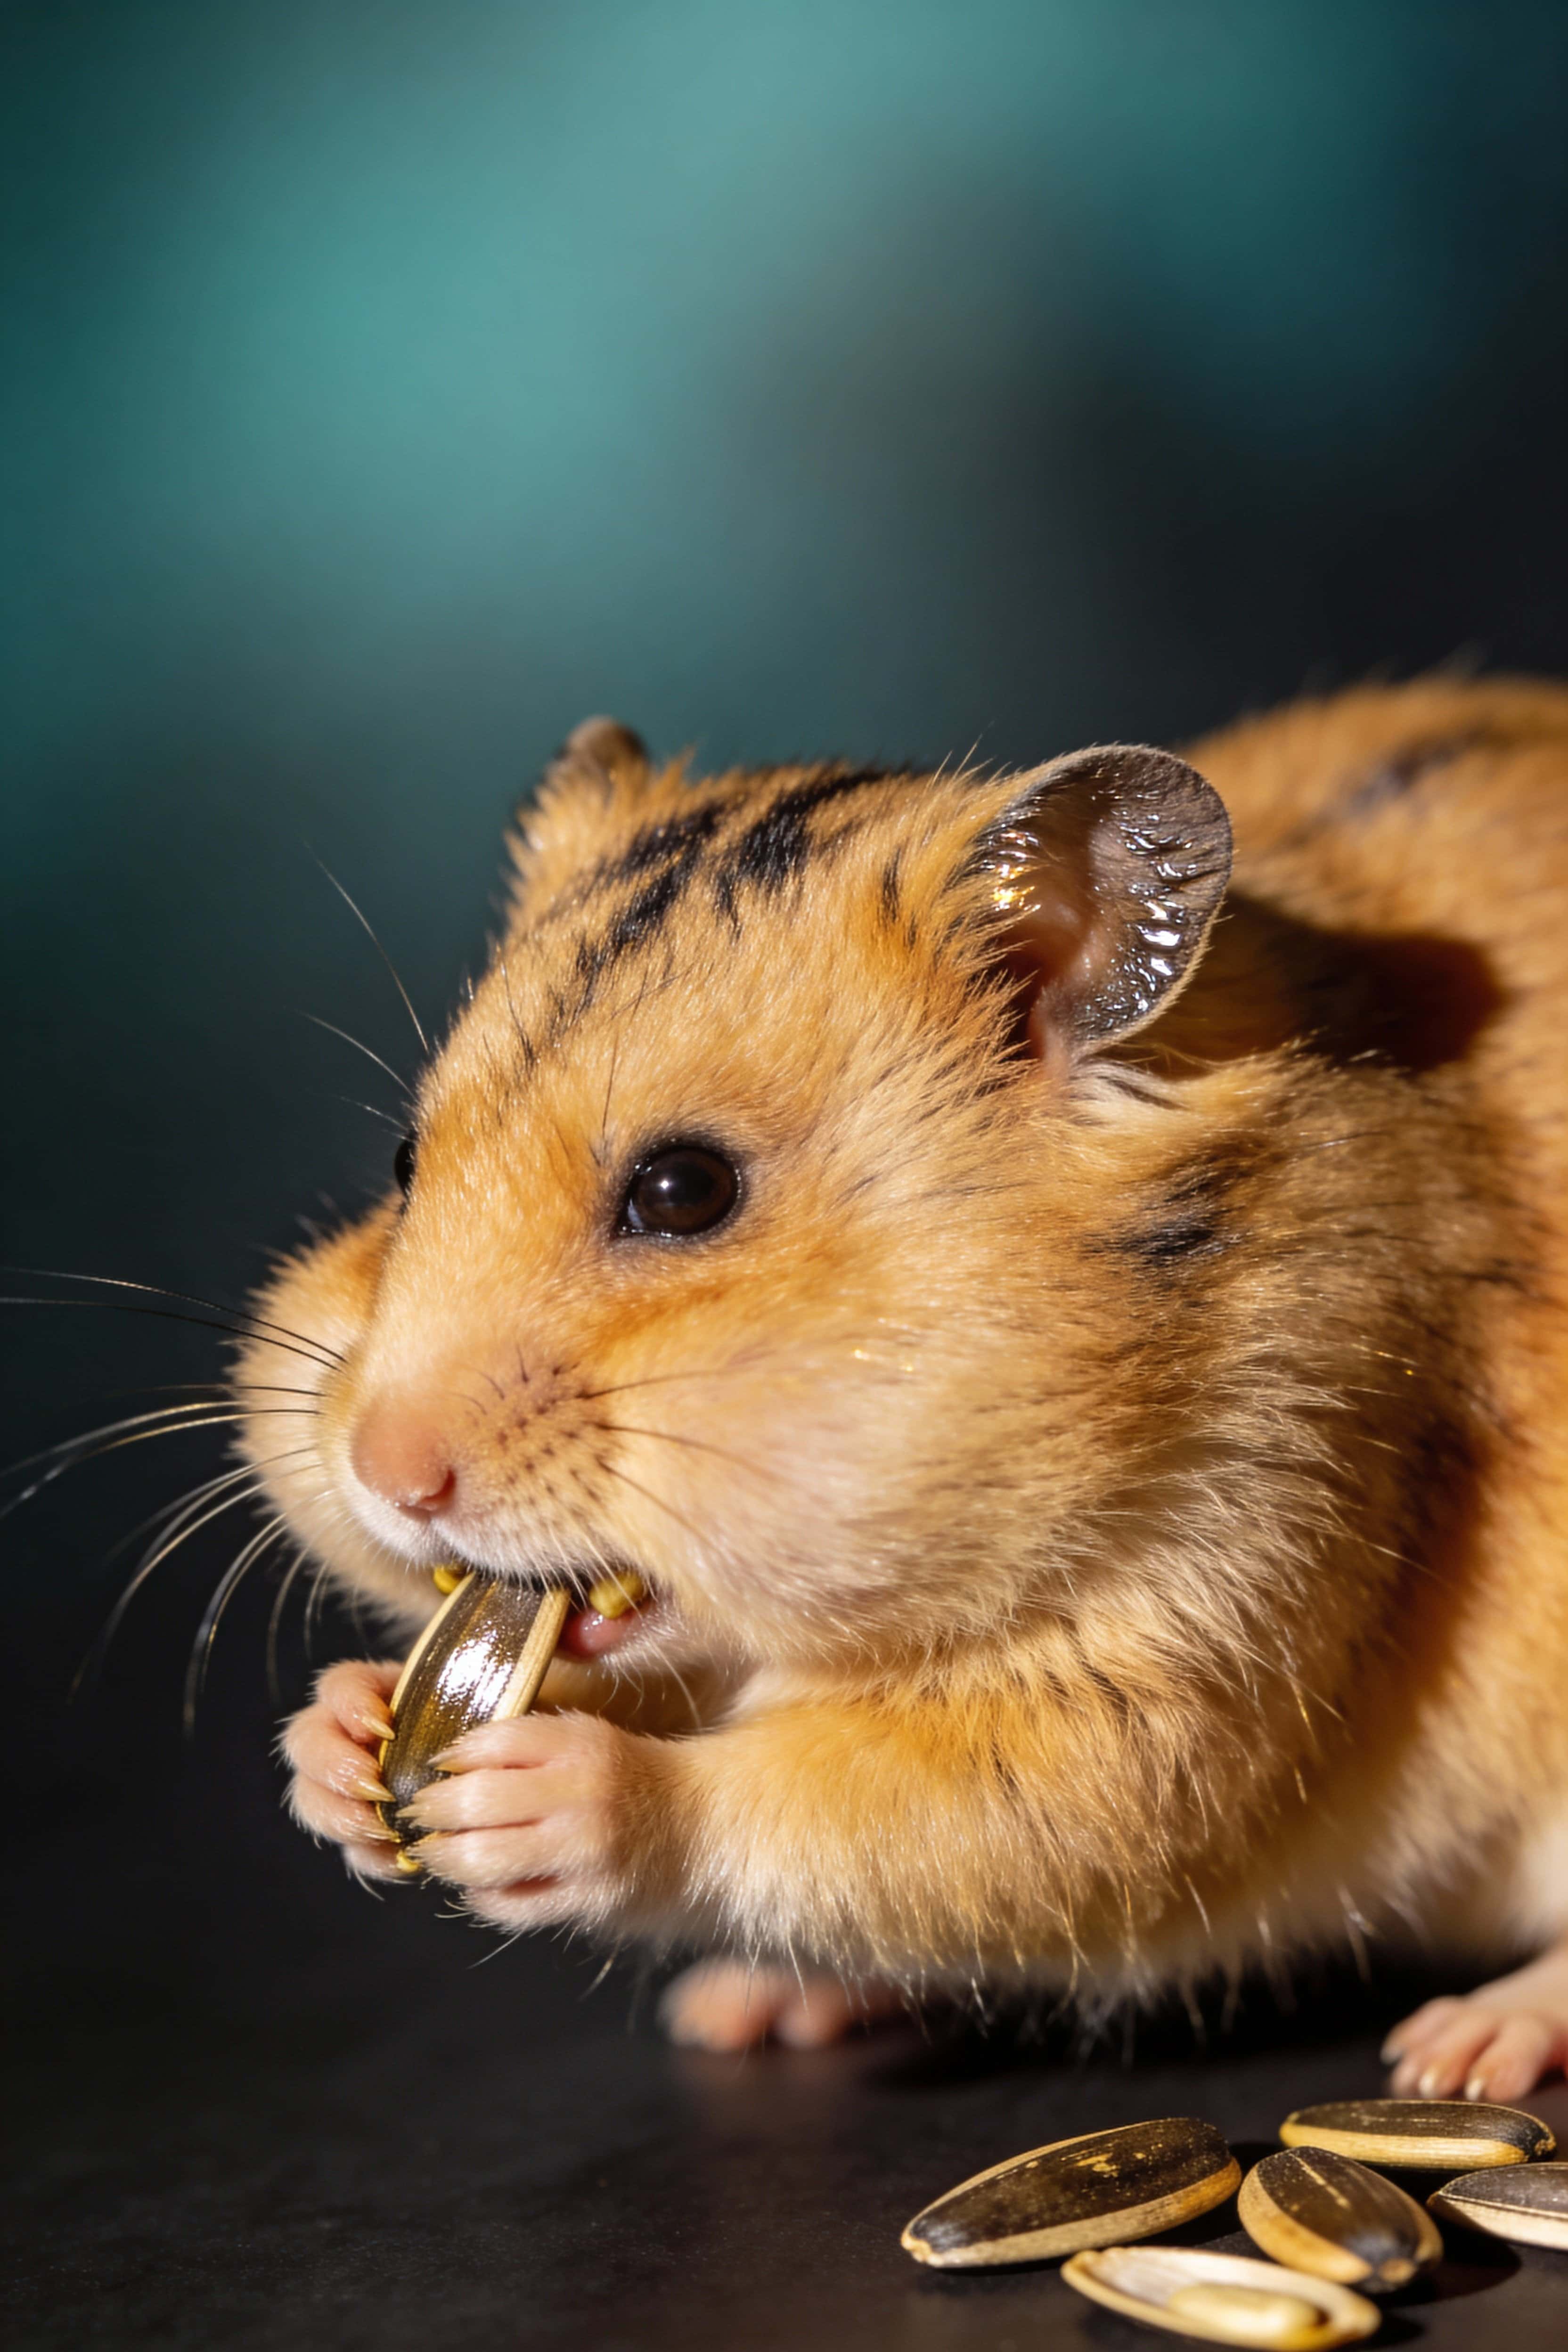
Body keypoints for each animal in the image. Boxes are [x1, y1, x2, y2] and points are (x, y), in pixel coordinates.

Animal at [261, 679, 1568, 2084]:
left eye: (683, 1190)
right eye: (404, 1163)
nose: (388, 1476)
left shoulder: (1227, 1608)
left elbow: (921, 1810)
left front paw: (538, 1797)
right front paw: (337, 1738)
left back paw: (1454, 2053)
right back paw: (744, 2007)